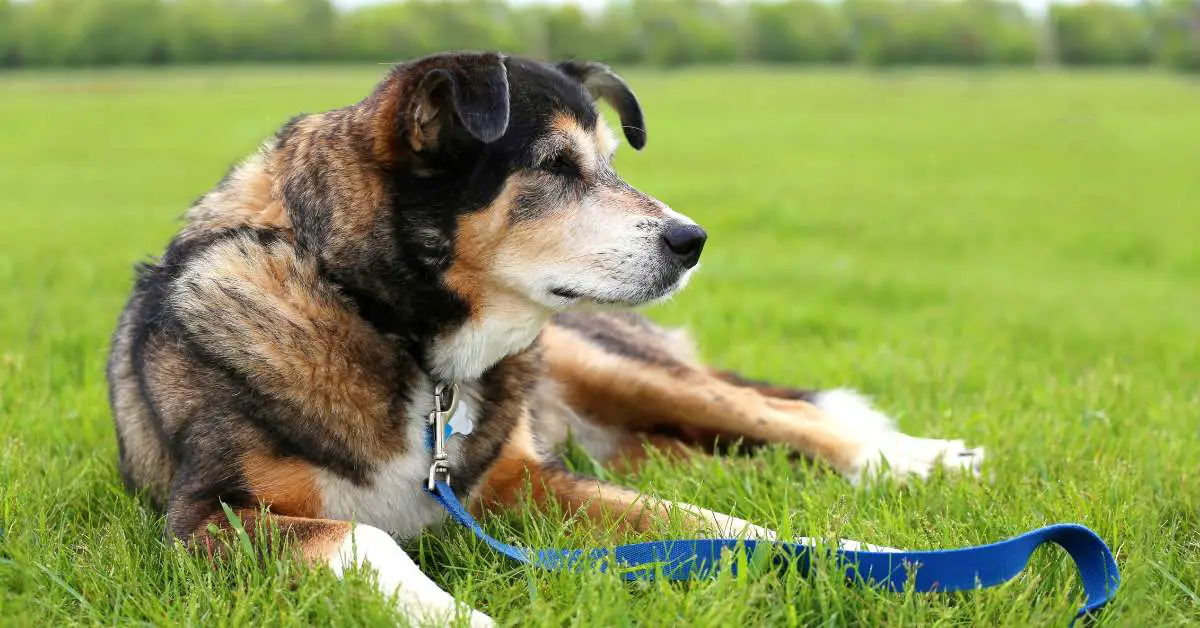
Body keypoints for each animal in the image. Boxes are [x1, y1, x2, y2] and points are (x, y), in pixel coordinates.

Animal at [108, 51, 979, 624]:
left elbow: (715, 525)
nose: (693, 241)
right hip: (637, 433)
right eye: (556, 165)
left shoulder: (521, 481)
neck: (385, 324)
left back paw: (923, 461)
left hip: (618, 369)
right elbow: (364, 538)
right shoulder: (206, 518)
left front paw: (849, 555)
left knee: (793, 419)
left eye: (611, 160)